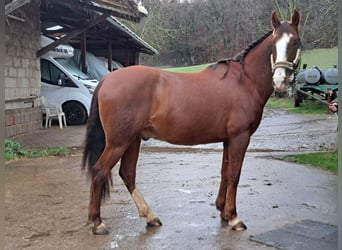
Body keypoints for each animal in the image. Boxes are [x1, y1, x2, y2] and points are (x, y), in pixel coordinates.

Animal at [84, 10, 300, 234]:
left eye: (295, 41)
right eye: (274, 43)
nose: (280, 82)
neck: (244, 81)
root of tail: (107, 79)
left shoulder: (228, 139)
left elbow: (225, 172)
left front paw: (223, 211)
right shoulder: (240, 137)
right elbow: (235, 174)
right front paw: (234, 217)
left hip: (132, 140)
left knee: (127, 174)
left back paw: (150, 216)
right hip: (119, 142)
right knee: (100, 172)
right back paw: (97, 222)